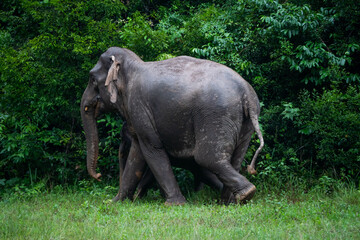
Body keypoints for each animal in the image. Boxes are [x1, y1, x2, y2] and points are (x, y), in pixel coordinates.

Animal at [80, 47, 262, 206]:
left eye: (92, 78)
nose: (98, 175)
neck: (132, 64)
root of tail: (247, 93)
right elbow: (137, 154)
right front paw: (115, 203)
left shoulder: (138, 106)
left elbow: (152, 149)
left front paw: (174, 204)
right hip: (244, 123)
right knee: (235, 159)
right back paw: (228, 202)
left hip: (216, 115)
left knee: (207, 158)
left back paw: (245, 194)